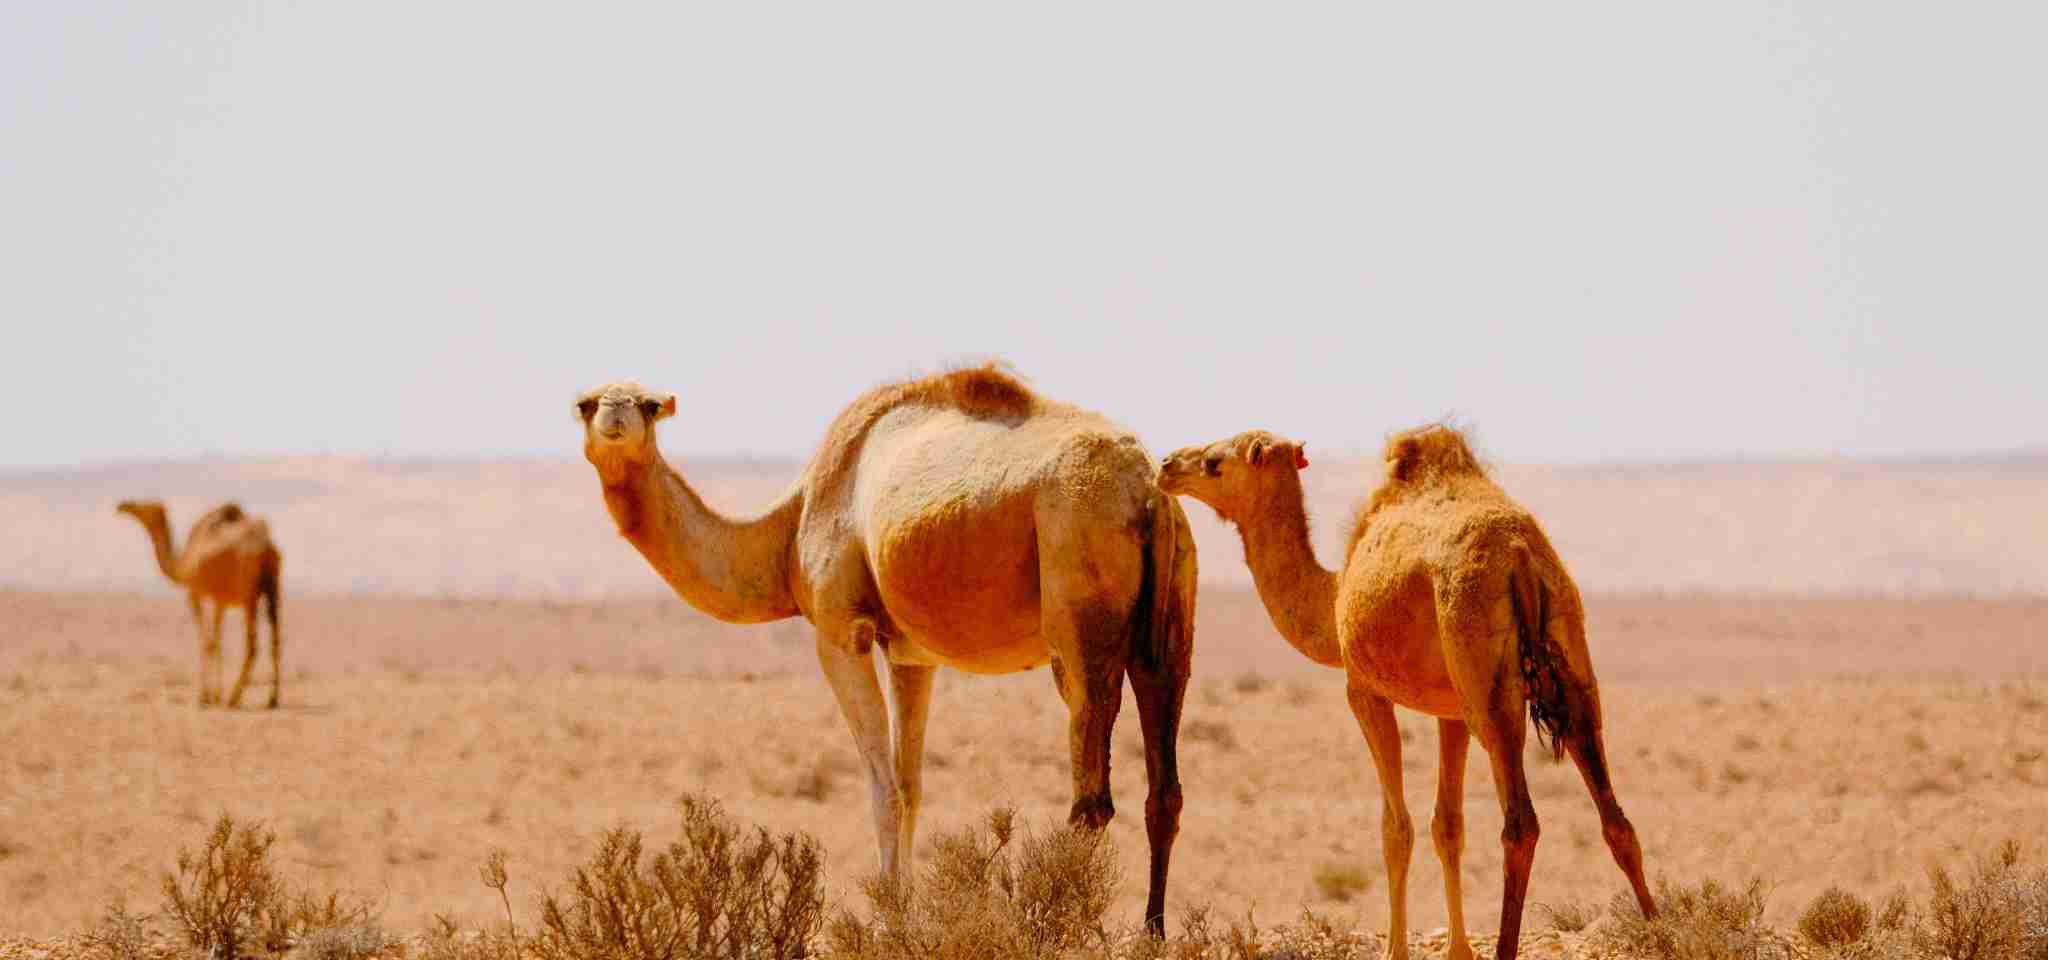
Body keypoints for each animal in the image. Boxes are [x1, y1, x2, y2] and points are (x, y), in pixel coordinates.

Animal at [115, 500, 285, 709]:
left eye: (148, 506)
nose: (123, 505)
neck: (183, 564)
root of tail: (265, 546)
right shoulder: (220, 601)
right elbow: (217, 642)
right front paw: (215, 695)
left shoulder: (195, 593)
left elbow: (206, 642)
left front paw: (204, 696)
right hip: (273, 588)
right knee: (275, 639)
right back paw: (272, 699)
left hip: (249, 595)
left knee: (252, 644)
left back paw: (234, 697)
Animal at [574, 365, 1199, 934]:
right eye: (585, 403)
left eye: (649, 405)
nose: (615, 419)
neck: (788, 530)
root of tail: (1147, 493)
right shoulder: (912, 654)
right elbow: (911, 784)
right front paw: (908, 908)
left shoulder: (839, 631)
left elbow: (883, 789)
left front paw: (888, 916)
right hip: (1170, 624)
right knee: (1163, 785)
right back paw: (1153, 930)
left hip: (1077, 597)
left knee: (1091, 793)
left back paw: (1061, 920)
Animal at [1157, 425, 1654, 960]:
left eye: (1214, 462)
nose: (1167, 466)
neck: (1332, 600)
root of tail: (1520, 556)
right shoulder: (1450, 711)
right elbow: (1448, 825)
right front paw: (1459, 949)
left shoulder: (1364, 691)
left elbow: (1395, 829)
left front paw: (1398, 948)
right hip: (1569, 656)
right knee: (1615, 816)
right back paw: (1661, 930)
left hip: (1485, 678)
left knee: (1521, 824)